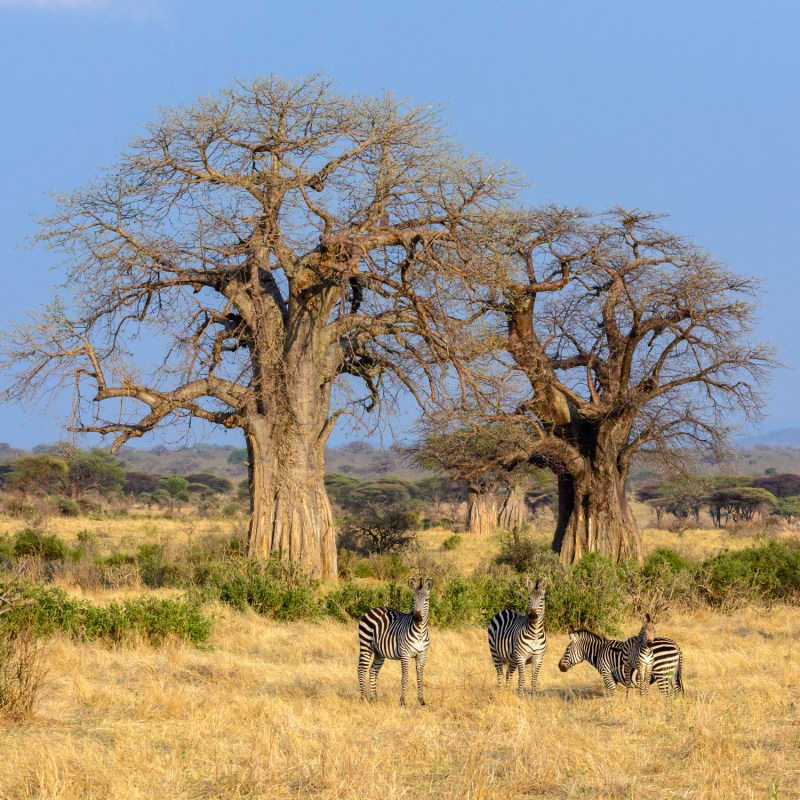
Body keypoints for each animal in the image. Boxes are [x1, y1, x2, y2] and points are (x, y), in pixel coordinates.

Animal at [357, 576, 432, 706]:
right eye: (413, 599)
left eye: (426, 600)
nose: (417, 618)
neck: (420, 632)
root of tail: (372, 609)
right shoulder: (405, 654)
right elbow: (405, 678)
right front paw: (402, 702)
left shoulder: (422, 655)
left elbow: (420, 677)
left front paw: (421, 700)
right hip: (365, 645)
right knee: (361, 669)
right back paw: (363, 698)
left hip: (379, 652)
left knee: (373, 670)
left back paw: (374, 698)